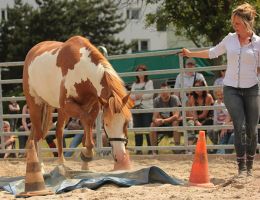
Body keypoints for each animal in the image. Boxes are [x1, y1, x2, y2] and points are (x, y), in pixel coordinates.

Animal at [22, 35, 133, 170]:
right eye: (106, 124)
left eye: (126, 123)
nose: (121, 157)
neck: (82, 71)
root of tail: (32, 52)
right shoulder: (68, 105)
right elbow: (86, 120)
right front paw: (88, 154)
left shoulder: (93, 106)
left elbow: (87, 125)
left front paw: (85, 163)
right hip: (35, 105)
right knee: (38, 135)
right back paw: (41, 166)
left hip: (57, 109)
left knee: (58, 131)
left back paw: (62, 163)